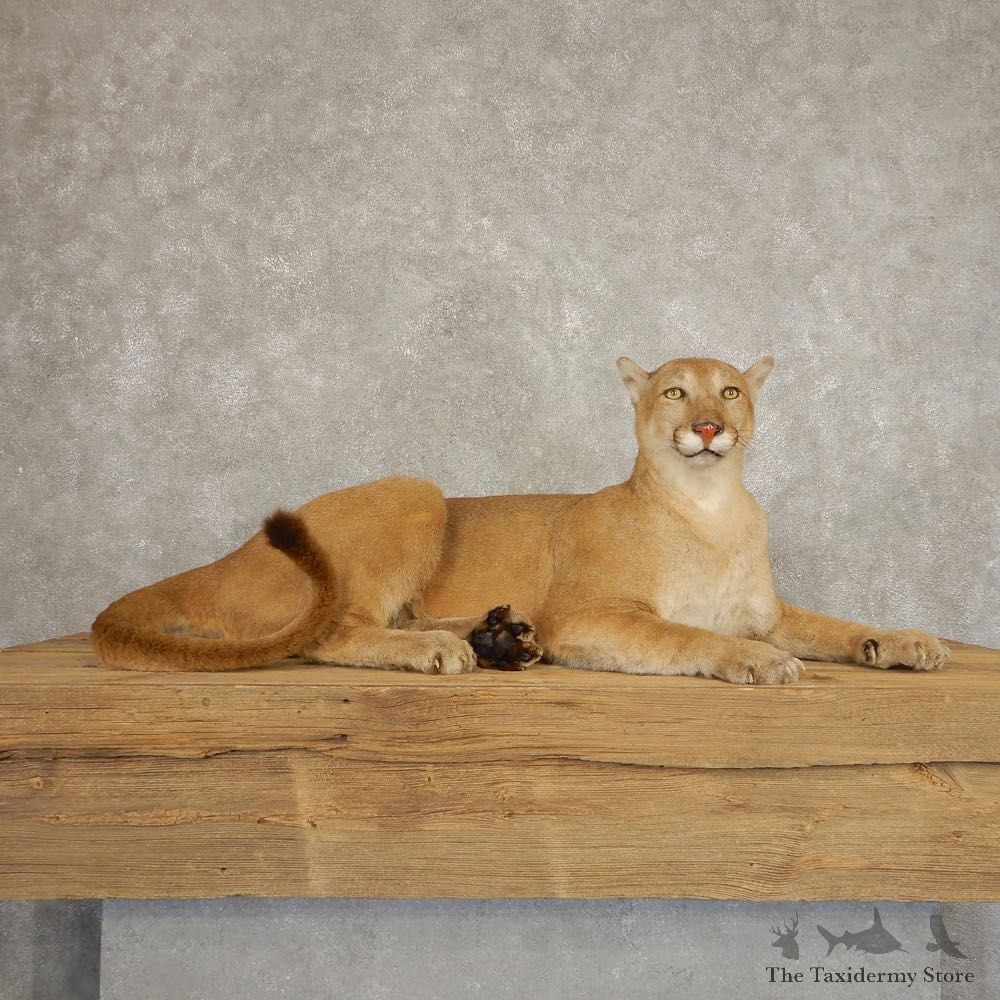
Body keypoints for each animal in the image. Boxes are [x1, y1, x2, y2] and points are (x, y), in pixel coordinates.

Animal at [92, 355, 950, 683]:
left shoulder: (768, 610)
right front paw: (755, 663)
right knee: (334, 632)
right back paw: (445, 649)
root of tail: (228, 555)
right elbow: (688, 636)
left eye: (730, 390)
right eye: (675, 391)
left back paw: (499, 637)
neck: (710, 506)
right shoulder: (595, 615)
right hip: (416, 489)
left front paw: (903, 641)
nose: (708, 427)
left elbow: (833, 624)